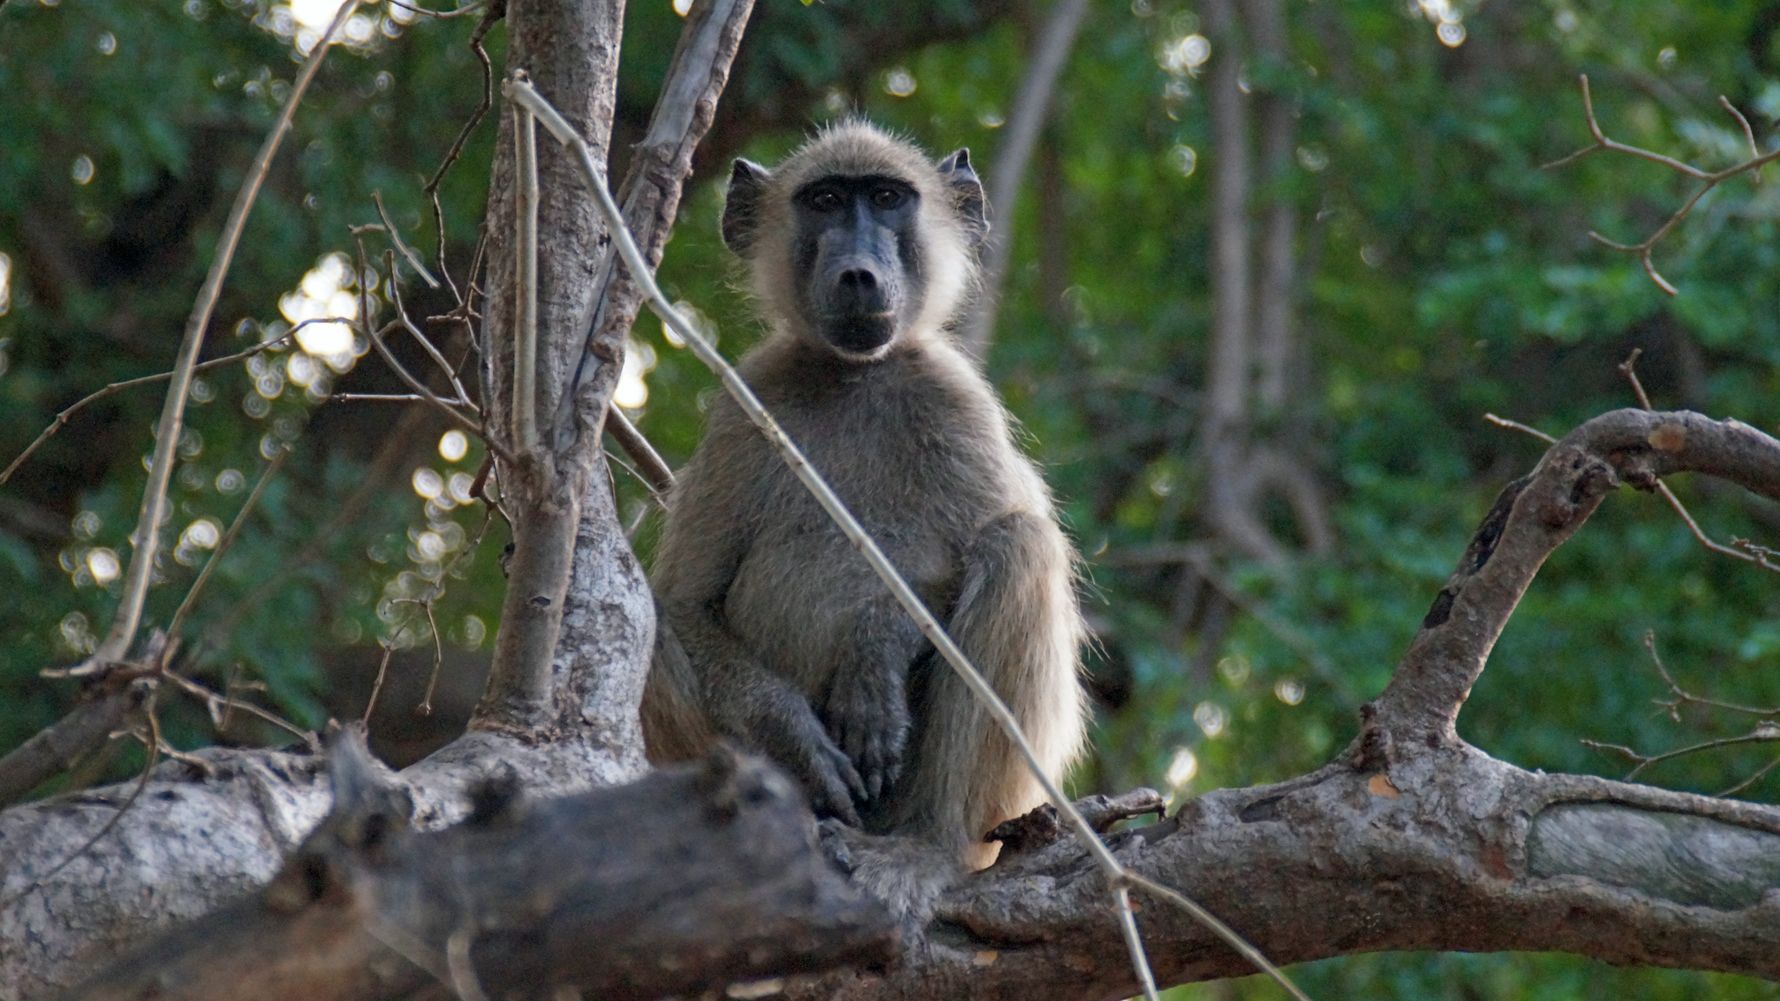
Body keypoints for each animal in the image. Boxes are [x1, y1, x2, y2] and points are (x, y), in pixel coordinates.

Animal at [641, 121, 1087, 911]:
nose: (857, 274)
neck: (854, 373)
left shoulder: (953, 397)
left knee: (1020, 547)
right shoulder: (742, 409)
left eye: (884, 199)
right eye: (823, 202)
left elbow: (969, 552)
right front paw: (793, 732)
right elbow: (685, 603)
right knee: (652, 620)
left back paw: (926, 846)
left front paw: (878, 651)